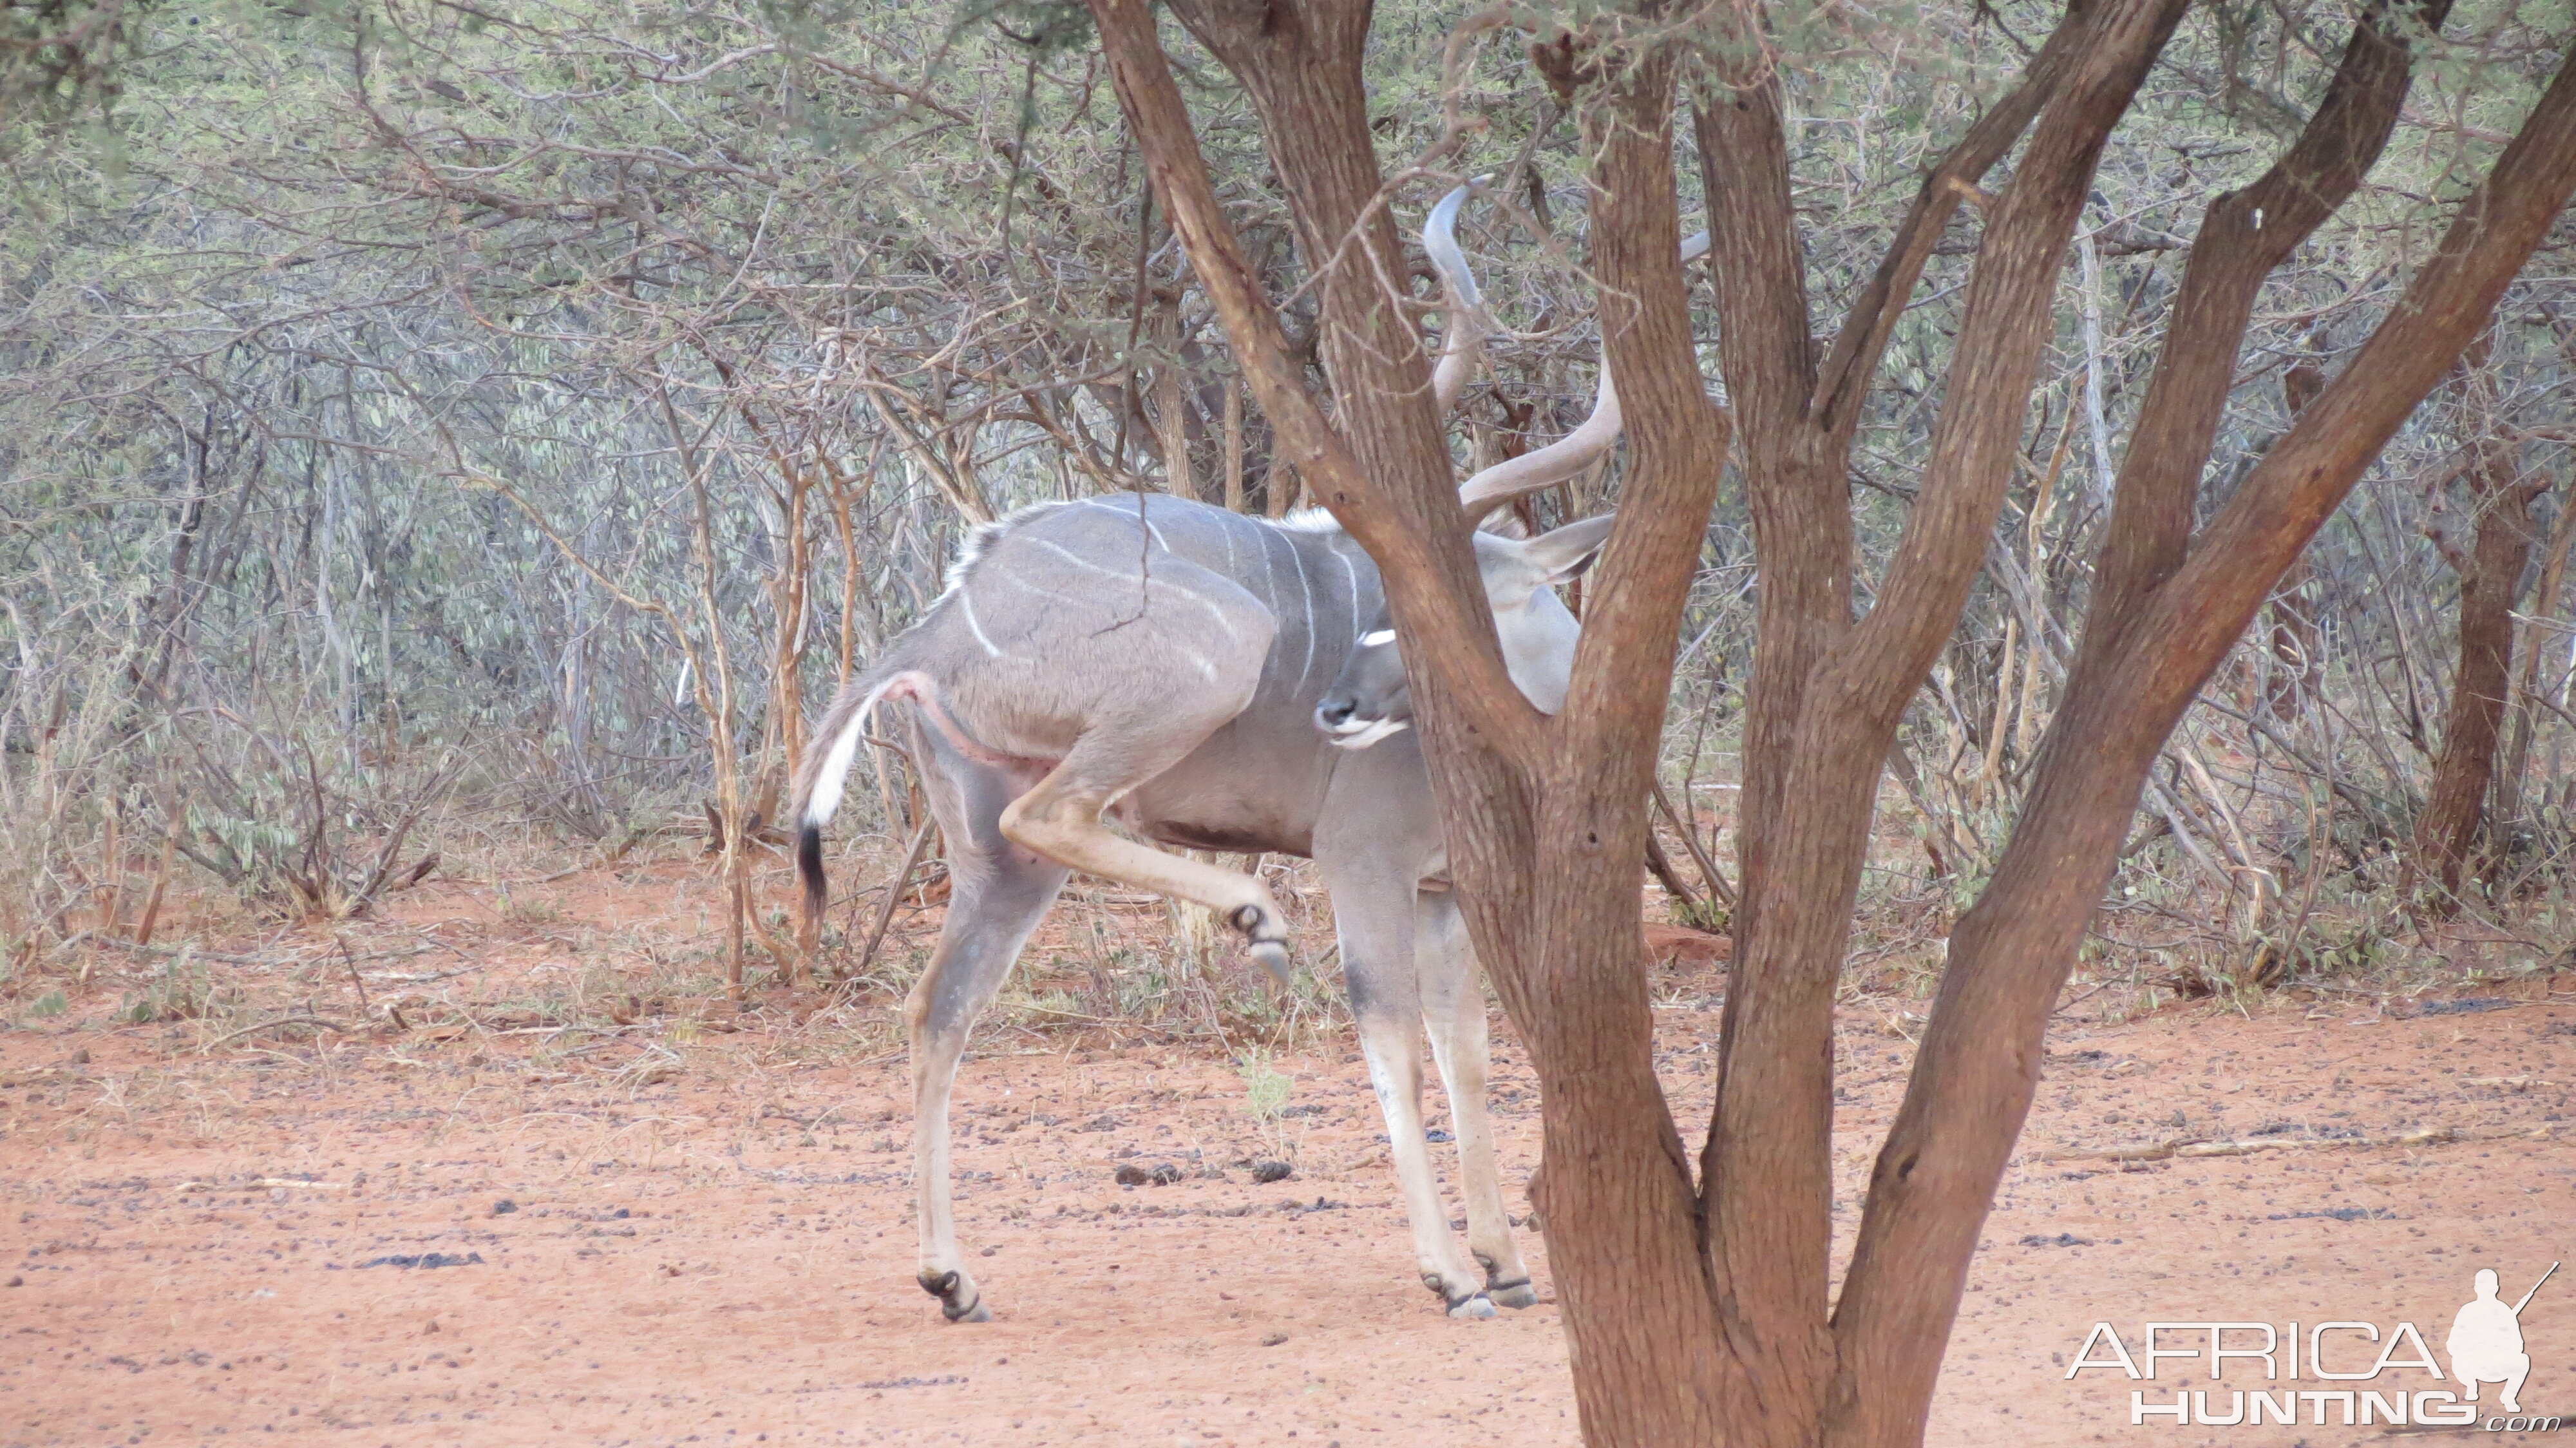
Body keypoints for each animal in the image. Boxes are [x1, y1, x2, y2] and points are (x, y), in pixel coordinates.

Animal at [793, 192, 1700, 1319]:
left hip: (996, 865)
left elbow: (1469, 1054)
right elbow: (1394, 1043)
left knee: (939, 1007)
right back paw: (1253, 917)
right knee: (1053, 820)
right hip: (1201, 677)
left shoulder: (1445, 891)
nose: (1337, 708)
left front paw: (1508, 1260)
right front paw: (1454, 1275)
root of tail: (939, 627)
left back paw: (951, 1276)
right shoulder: (1366, 863)